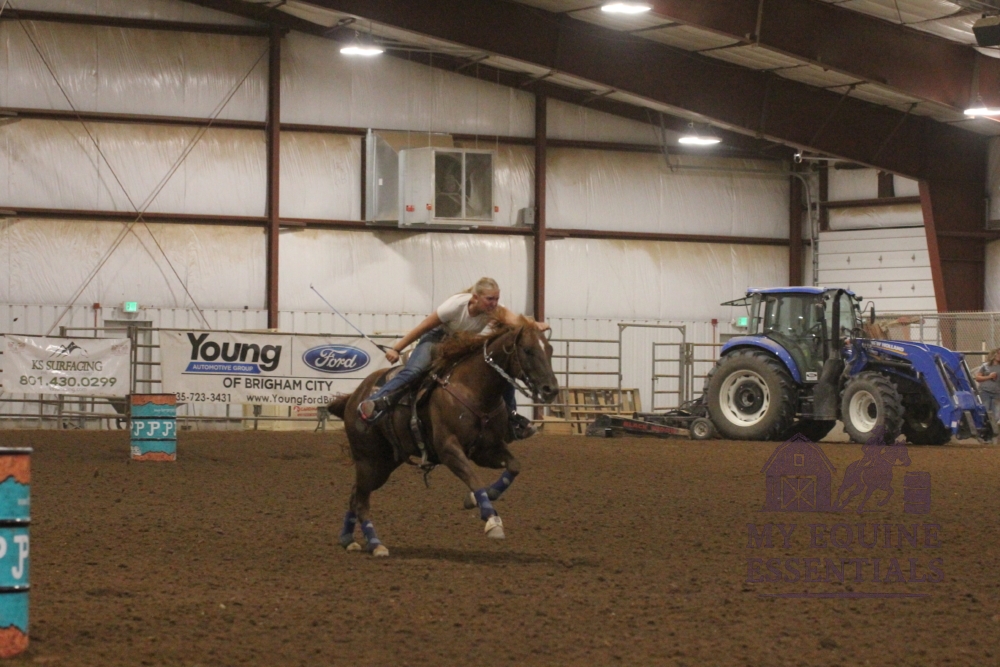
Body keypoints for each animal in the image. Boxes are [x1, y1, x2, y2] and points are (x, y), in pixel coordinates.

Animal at [326, 318, 560, 557]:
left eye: (550, 350)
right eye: (528, 350)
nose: (551, 389)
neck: (472, 389)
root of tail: (357, 397)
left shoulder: (486, 450)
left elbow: (514, 466)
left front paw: (475, 498)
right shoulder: (449, 450)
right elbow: (473, 478)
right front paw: (492, 520)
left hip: (385, 462)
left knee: (355, 495)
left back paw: (348, 539)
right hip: (367, 458)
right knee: (361, 501)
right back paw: (375, 544)